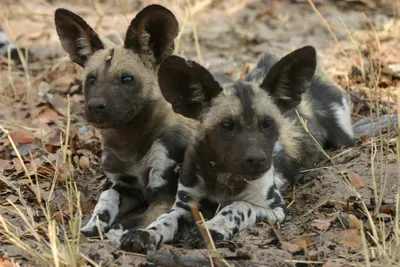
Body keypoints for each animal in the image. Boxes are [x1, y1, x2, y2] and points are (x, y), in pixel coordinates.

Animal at [54, 5, 196, 237]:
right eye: (90, 79)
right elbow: (106, 202)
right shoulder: (125, 187)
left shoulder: (163, 199)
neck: (130, 143)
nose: (95, 106)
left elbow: (133, 224)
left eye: (127, 79)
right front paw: (93, 224)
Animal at [117, 46, 354, 253]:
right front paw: (146, 234)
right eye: (227, 125)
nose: (257, 159)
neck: (224, 176)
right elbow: (164, 220)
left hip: (344, 138)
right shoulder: (184, 206)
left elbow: (237, 207)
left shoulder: (275, 209)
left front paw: (210, 229)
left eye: (267, 124)